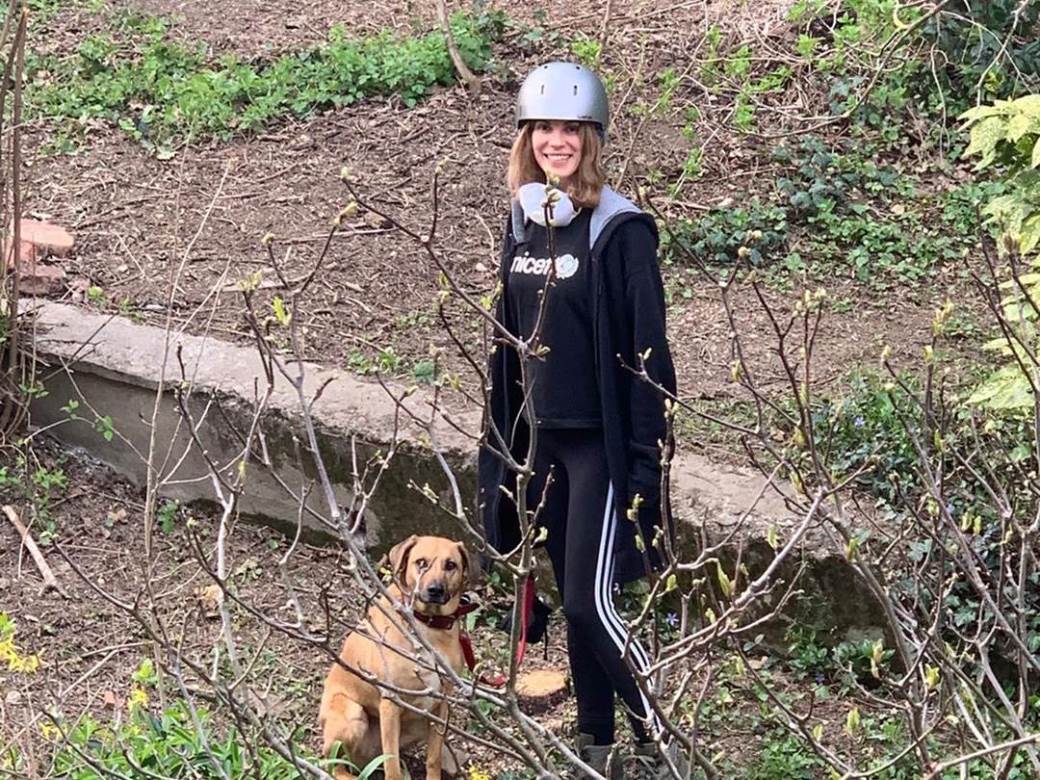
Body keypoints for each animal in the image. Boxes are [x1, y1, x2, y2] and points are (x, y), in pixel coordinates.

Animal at [319, 535, 470, 780]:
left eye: (450, 565)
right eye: (421, 562)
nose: (435, 590)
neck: (427, 626)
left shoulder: (441, 705)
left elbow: (433, 757)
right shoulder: (390, 703)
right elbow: (392, 767)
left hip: (417, 724)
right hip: (353, 716)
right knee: (333, 763)